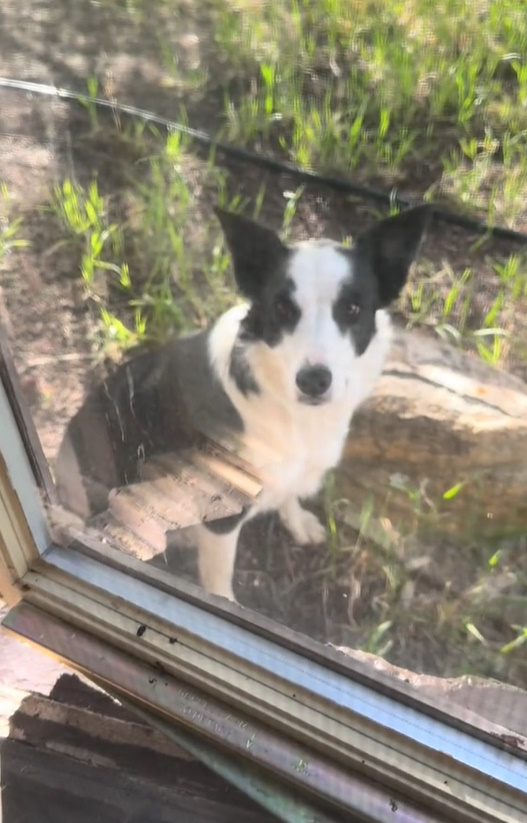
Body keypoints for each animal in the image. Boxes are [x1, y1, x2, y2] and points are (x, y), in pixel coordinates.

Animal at [55, 203, 432, 600]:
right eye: (282, 308)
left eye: (353, 308)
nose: (314, 380)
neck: (291, 413)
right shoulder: (222, 514)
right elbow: (219, 578)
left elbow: (289, 495)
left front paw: (297, 521)